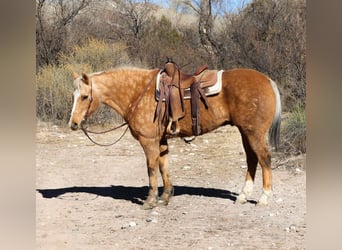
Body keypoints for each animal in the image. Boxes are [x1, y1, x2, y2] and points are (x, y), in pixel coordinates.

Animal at [69, 61, 280, 209]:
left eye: (85, 97)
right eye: (73, 95)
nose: (74, 123)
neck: (137, 92)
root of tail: (268, 80)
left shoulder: (148, 142)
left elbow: (151, 169)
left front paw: (150, 200)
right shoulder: (161, 141)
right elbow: (164, 167)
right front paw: (165, 196)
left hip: (254, 133)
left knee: (264, 159)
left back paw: (264, 197)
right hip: (245, 132)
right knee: (252, 159)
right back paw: (243, 196)